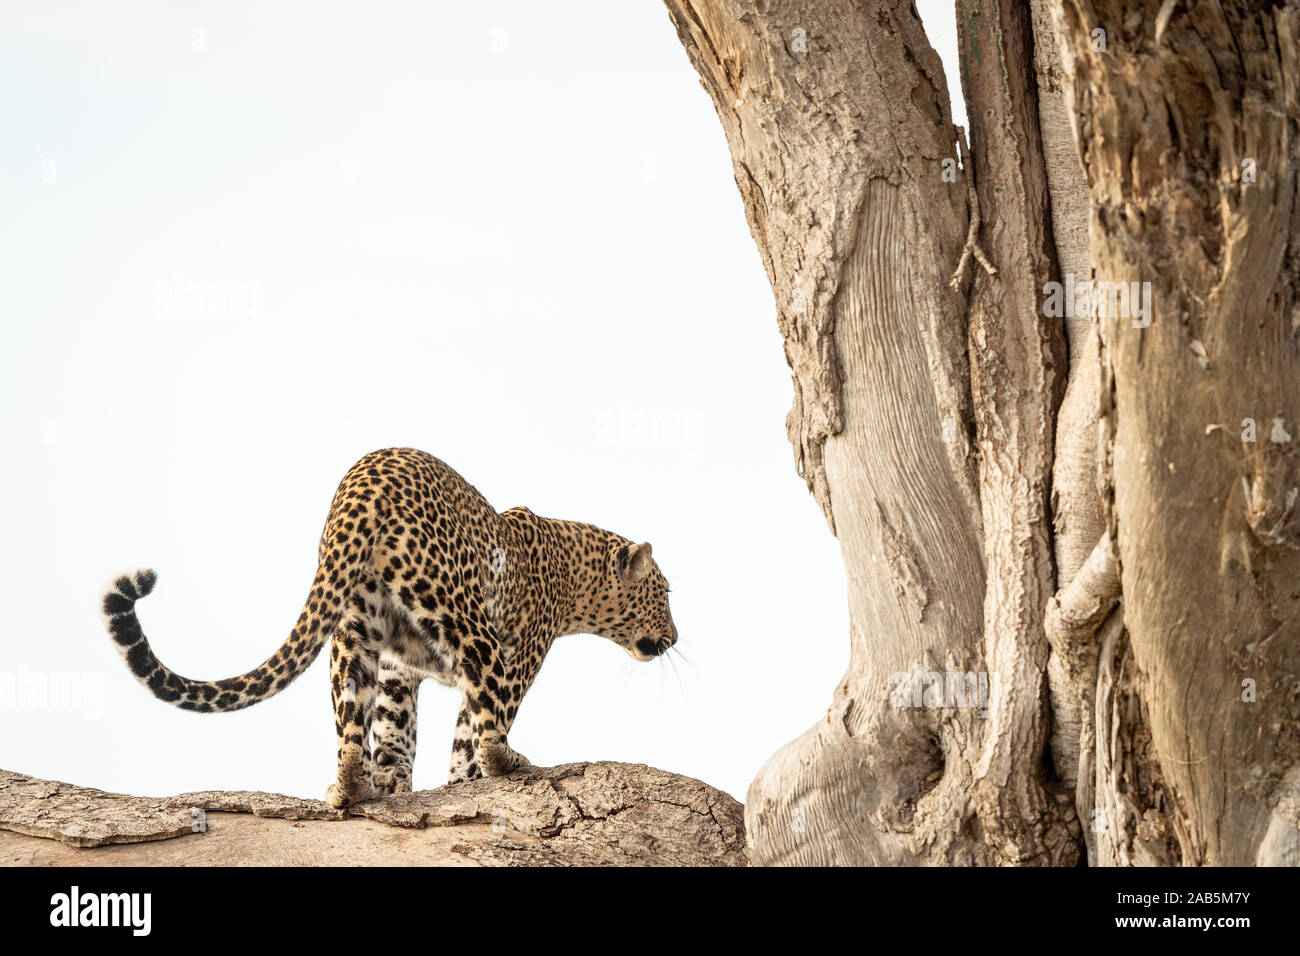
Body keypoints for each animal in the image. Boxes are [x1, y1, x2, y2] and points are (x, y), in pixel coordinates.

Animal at [98, 447, 681, 806]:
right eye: (667, 593)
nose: (675, 638)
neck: (574, 568)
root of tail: (362, 484)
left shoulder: (401, 670)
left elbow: (407, 734)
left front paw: (407, 785)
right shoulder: (519, 658)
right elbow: (475, 730)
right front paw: (466, 781)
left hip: (350, 632)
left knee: (351, 726)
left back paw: (353, 789)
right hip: (465, 616)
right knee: (492, 730)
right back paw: (513, 762)